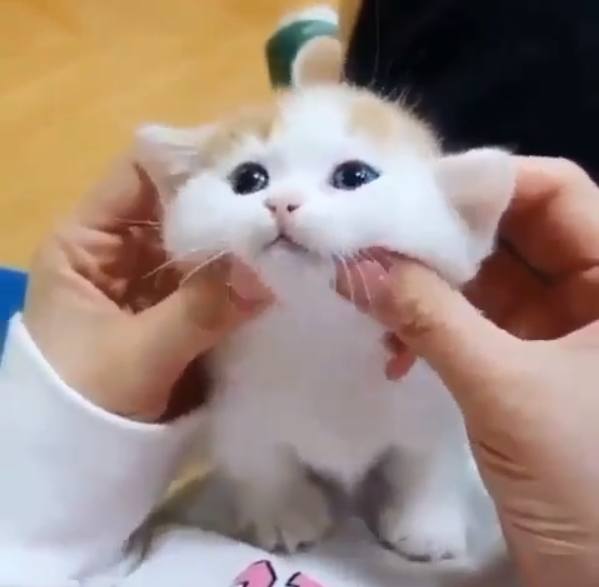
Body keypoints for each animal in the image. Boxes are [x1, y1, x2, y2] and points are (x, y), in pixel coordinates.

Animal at [134, 82, 516, 564]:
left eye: (354, 176)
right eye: (248, 179)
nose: (282, 203)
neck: (319, 333)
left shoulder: (434, 393)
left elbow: (431, 458)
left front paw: (428, 525)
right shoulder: (236, 402)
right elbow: (259, 460)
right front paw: (284, 513)